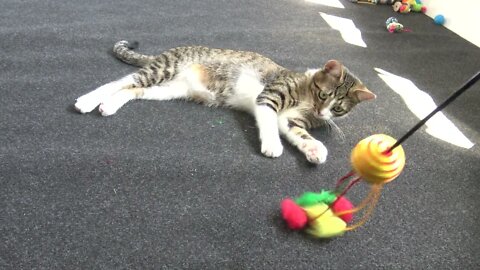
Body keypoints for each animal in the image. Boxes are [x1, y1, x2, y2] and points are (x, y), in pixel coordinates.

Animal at [75, 40, 376, 163]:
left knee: (130, 90)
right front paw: (272, 146)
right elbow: (269, 124)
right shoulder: (269, 97)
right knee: (120, 82)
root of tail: (170, 50)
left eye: (338, 108)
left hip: (170, 88)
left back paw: (109, 105)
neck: (304, 94)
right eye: (324, 95)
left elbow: (297, 132)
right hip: (163, 70)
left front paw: (313, 148)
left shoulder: (289, 119)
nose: (322, 113)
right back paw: (88, 100)